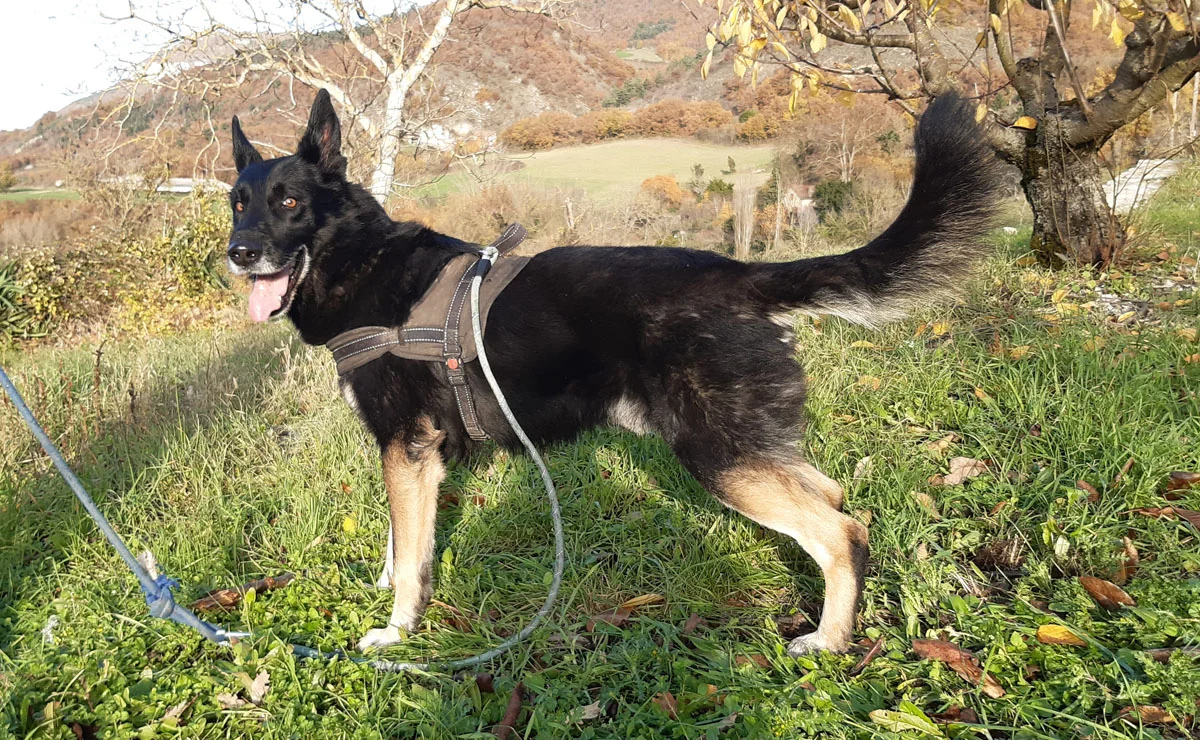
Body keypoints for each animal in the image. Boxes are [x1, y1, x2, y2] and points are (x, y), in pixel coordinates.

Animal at [226, 89, 1000, 655]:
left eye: (288, 202)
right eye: (238, 203)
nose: (239, 253)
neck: (362, 259)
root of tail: (740, 276)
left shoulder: (407, 449)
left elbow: (413, 557)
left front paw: (397, 629)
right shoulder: (410, 454)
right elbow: (399, 539)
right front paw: (386, 582)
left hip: (719, 456)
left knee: (842, 531)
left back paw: (830, 640)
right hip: (749, 446)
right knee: (833, 495)